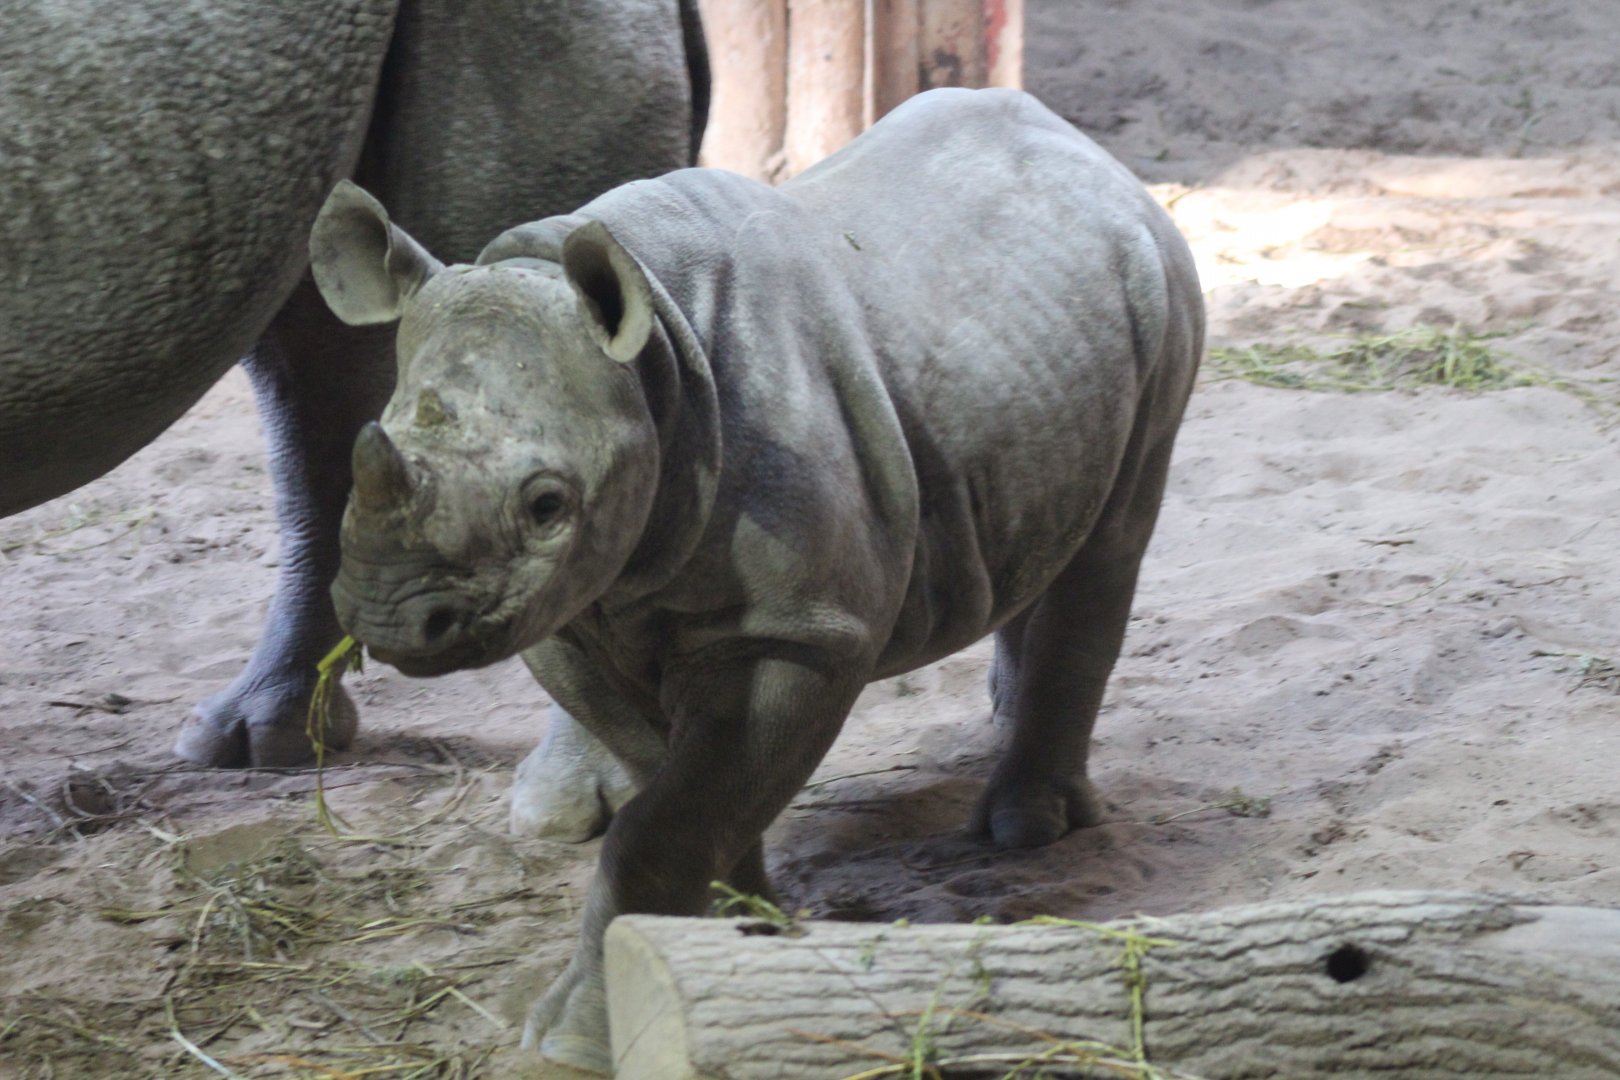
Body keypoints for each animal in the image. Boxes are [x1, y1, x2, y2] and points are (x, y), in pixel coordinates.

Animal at [308, 87, 1204, 1071]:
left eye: (547, 503)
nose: (391, 619)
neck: (655, 366)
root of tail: (1092, 154)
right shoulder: (574, 614)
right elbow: (677, 793)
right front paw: (738, 933)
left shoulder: (801, 630)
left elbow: (661, 823)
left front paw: (579, 1042)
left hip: (1166, 293)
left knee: (1115, 537)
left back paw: (1026, 829)